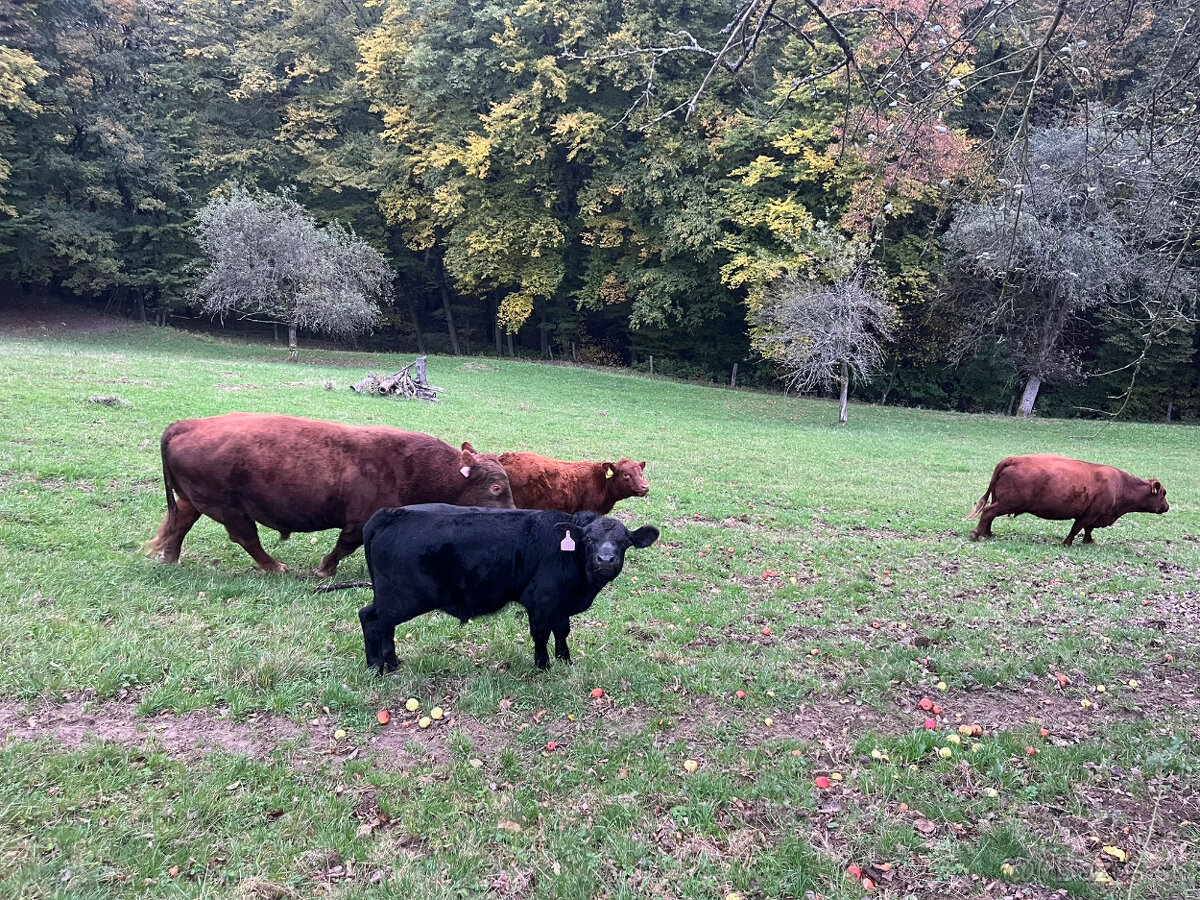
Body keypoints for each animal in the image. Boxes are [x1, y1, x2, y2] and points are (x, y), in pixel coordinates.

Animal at [145, 415, 511, 578]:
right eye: (496, 488)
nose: (512, 514)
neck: (414, 465)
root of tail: (187, 425)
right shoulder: (359, 522)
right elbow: (344, 546)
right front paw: (324, 569)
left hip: (194, 501)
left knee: (178, 525)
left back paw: (170, 558)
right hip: (229, 509)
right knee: (246, 537)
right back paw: (277, 566)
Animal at [964, 453, 1171, 547]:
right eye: (1163, 494)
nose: (1167, 507)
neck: (1121, 485)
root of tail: (1015, 459)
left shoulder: (1094, 515)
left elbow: (1087, 529)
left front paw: (1089, 541)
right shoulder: (1091, 513)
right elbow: (1077, 527)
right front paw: (1067, 543)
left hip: (1002, 501)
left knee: (990, 515)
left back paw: (988, 533)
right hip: (1008, 502)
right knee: (988, 512)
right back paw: (977, 534)